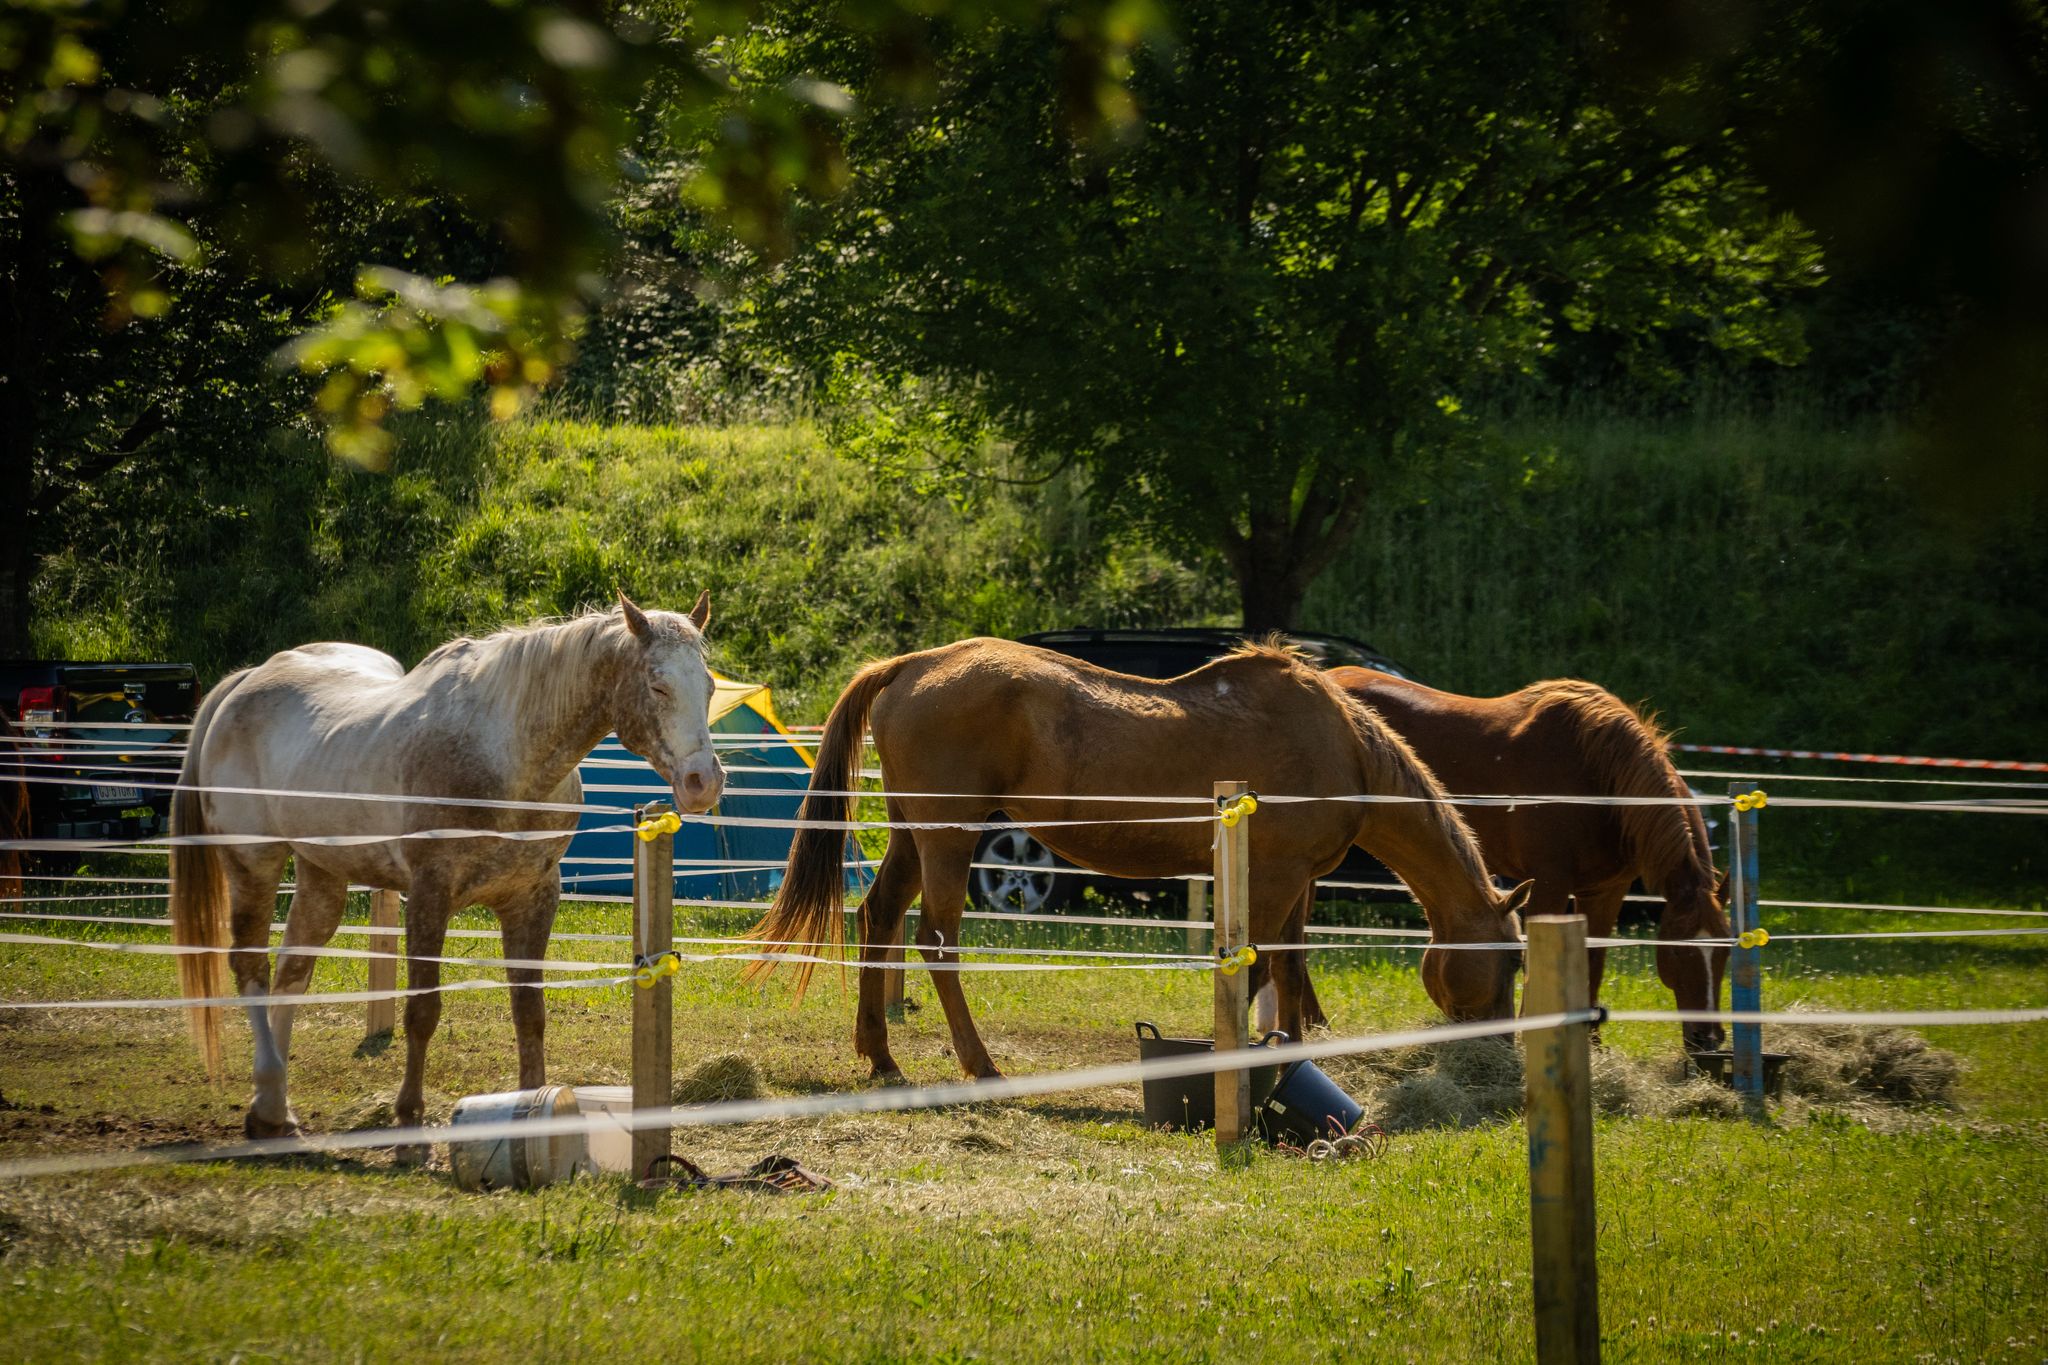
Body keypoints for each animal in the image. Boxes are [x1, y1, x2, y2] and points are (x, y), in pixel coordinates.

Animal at [169, 592, 725, 1145]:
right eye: (657, 684)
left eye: (710, 686)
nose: (704, 782)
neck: (507, 760)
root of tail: (244, 683)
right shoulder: (428, 896)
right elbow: (422, 1011)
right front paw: (409, 1115)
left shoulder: (533, 899)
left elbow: (529, 1013)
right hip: (253, 862)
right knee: (251, 968)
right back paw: (267, 1100)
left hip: (321, 872)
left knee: (293, 970)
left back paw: (275, 1110)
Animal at [746, 638, 1529, 1080]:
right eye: (1513, 960)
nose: (1497, 1043)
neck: (1344, 749)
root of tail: (909, 665)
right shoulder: (1276, 878)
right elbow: (1261, 966)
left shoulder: (1295, 881)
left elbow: (1289, 966)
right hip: (950, 836)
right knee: (937, 941)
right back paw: (979, 1063)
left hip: (913, 832)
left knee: (877, 917)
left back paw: (880, 1055)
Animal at [1315, 670, 1730, 1053]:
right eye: (1677, 950)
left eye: (1727, 949)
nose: (1706, 1039)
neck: (1599, 781)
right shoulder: (1549, 884)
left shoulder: (1606, 890)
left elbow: (1594, 961)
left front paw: (1591, 1043)